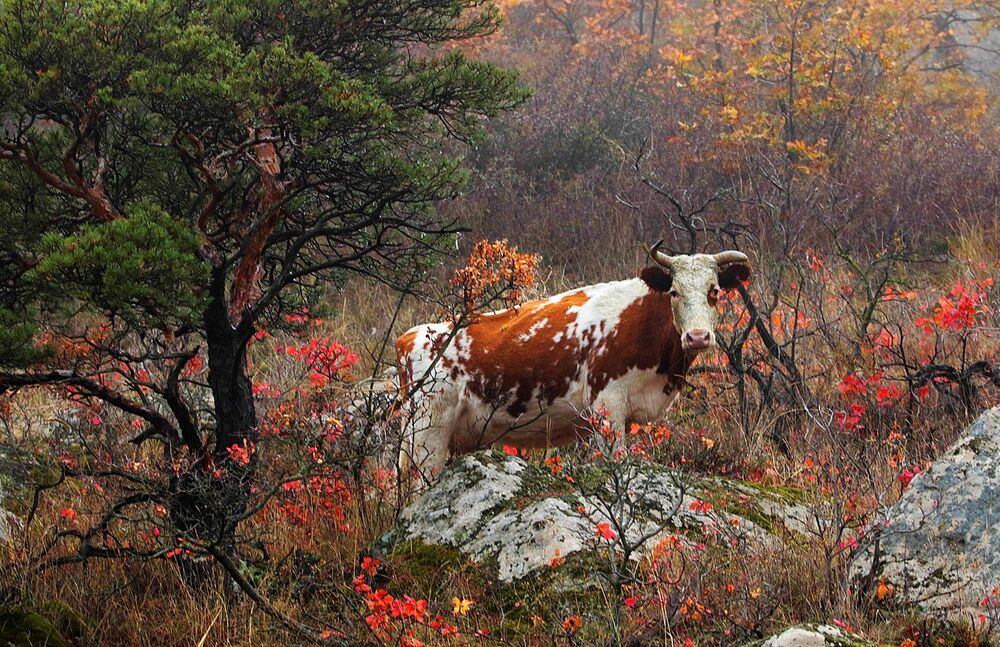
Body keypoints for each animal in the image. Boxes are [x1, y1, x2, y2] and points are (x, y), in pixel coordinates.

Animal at [395, 246, 752, 482]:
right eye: (674, 292)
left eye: (715, 291)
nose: (697, 336)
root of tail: (409, 337)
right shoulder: (607, 405)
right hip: (428, 436)